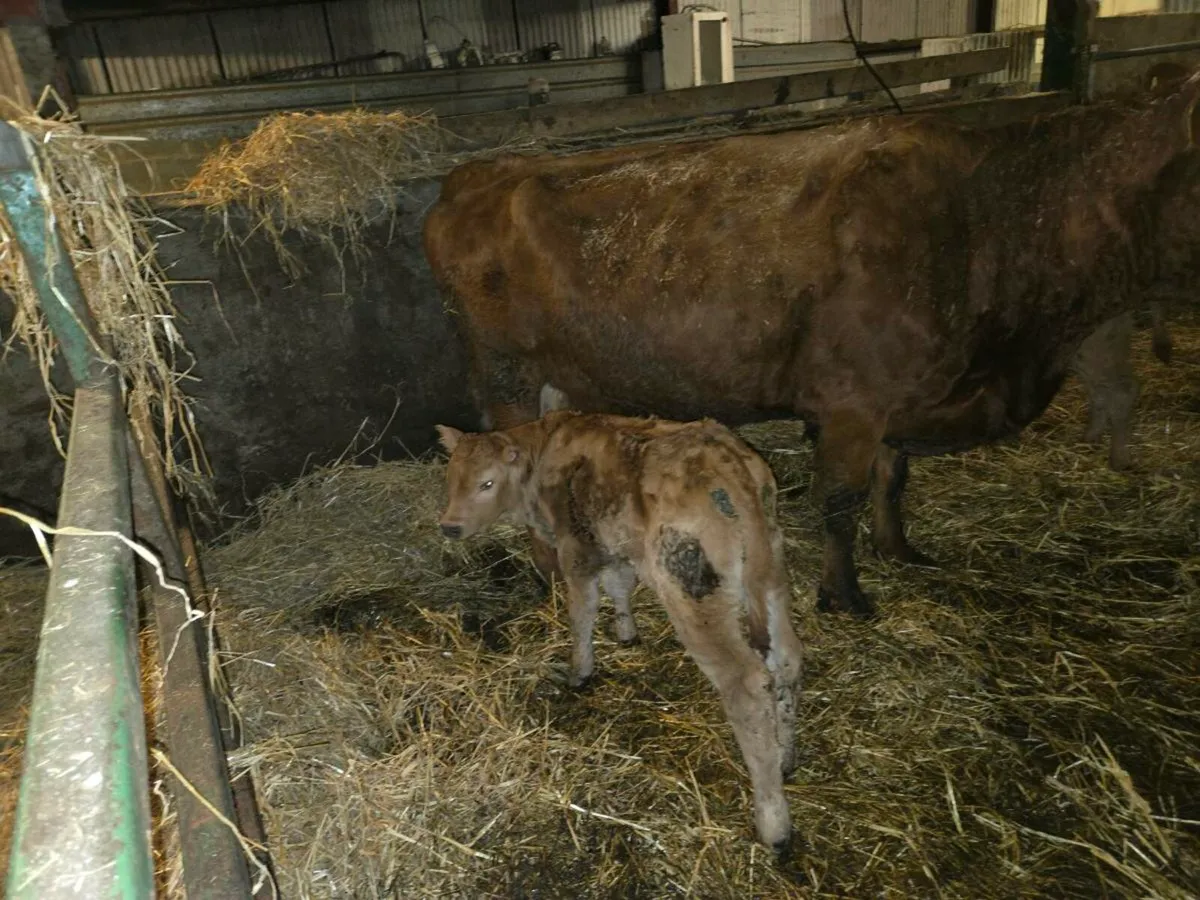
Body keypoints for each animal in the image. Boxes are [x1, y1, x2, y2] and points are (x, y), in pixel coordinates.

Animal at [424, 69, 1200, 619]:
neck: (987, 215)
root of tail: (476, 172)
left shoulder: (896, 398)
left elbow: (893, 480)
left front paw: (899, 549)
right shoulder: (852, 401)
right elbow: (840, 502)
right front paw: (844, 595)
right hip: (507, 377)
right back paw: (554, 578)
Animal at [435, 410, 804, 858]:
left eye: (486, 483)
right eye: (452, 478)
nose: (449, 527)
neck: (546, 452)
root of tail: (727, 458)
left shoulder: (576, 546)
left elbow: (582, 610)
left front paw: (580, 671)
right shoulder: (613, 544)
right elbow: (619, 584)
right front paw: (627, 631)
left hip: (692, 588)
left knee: (747, 683)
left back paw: (773, 823)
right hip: (770, 575)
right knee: (786, 659)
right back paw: (785, 758)